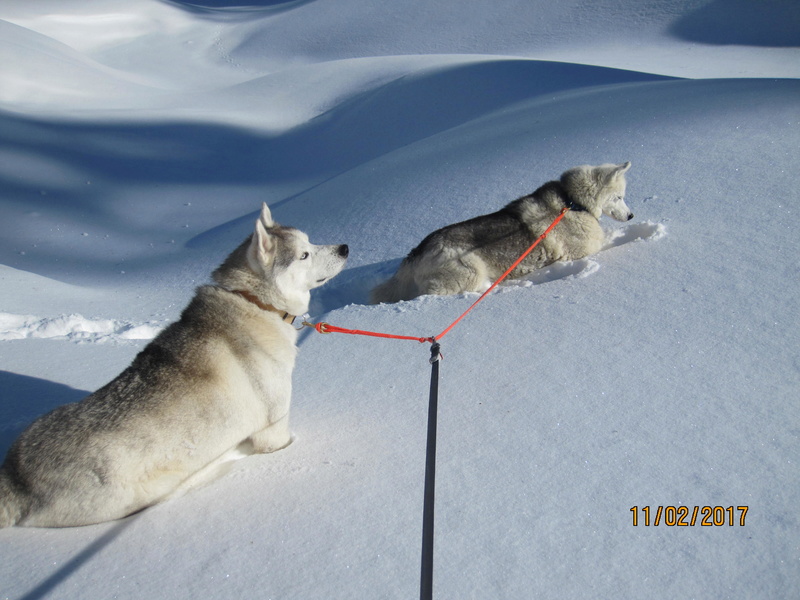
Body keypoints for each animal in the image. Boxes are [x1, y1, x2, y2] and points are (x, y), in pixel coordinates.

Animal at [1, 204, 348, 528]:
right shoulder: (272, 430)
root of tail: (15, 477)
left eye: (310, 241)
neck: (254, 301)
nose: (344, 247)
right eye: (304, 254)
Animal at [372, 162, 636, 302]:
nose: (631, 216)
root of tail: (415, 253)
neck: (572, 201)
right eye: (619, 197)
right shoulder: (584, 250)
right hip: (468, 272)